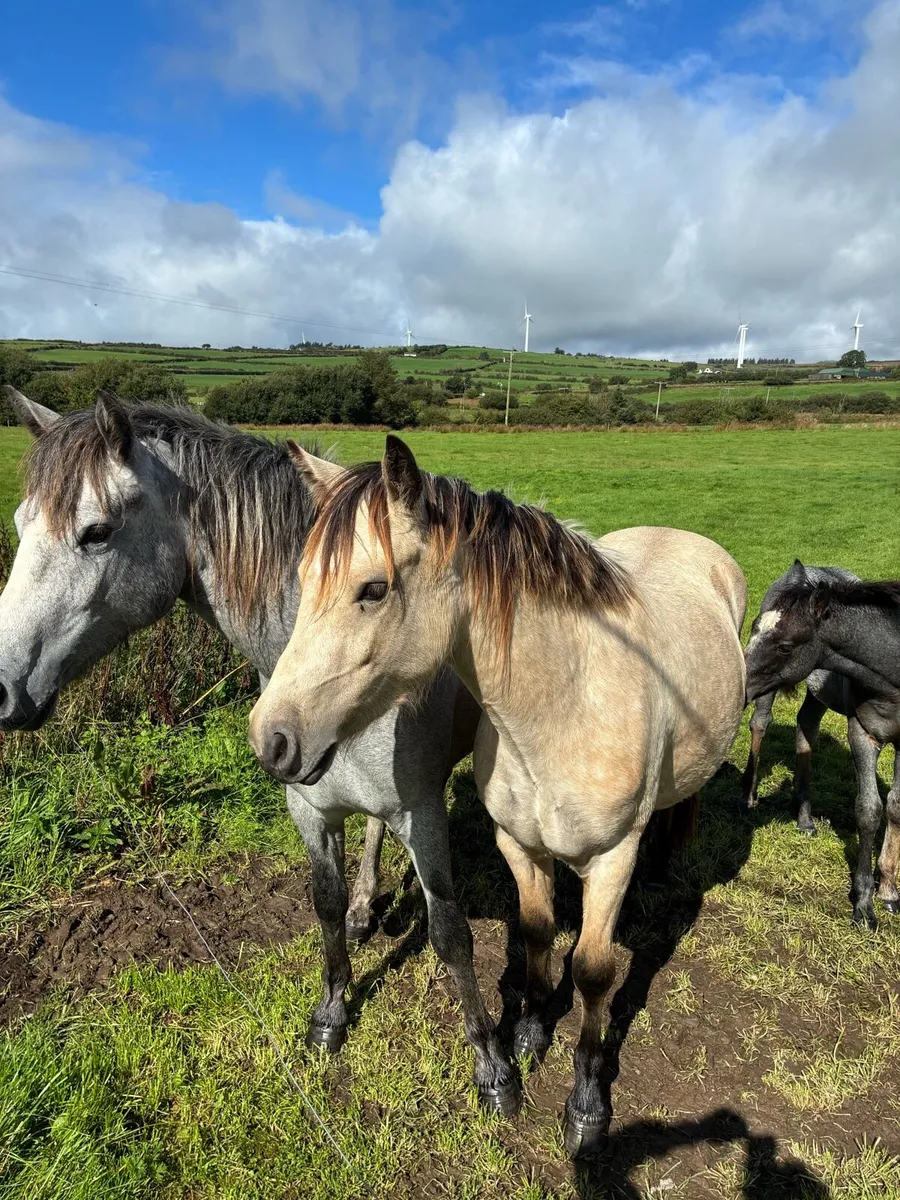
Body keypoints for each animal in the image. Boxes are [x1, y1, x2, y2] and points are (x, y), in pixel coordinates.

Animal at [0, 387, 490, 1078]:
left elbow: (450, 931)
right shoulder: (309, 808)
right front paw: (331, 1013)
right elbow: (327, 906)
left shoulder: (422, 812)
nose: (0, 686)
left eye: (94, 532)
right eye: (21, 526)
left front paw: (493, 1066)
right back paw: (367, 907)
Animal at [249, 435, 747, 1156]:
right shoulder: (518, 844)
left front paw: (586, 1105)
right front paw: (530, 1032)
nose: (271, 738)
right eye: (304, 580)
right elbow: (536, 933)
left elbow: (593, 970)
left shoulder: (610, 861)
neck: (562, 708)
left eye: (373, 589)